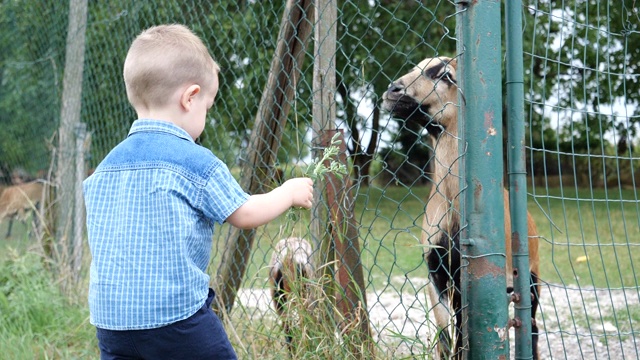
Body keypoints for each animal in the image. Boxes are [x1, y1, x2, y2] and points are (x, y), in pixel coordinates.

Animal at [380, 57, 540, 358]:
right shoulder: (437, 275)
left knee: (533, 328)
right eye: (418, 66)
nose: (392, 91)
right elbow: (446, 338)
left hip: (531, 277)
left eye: (445, 75)